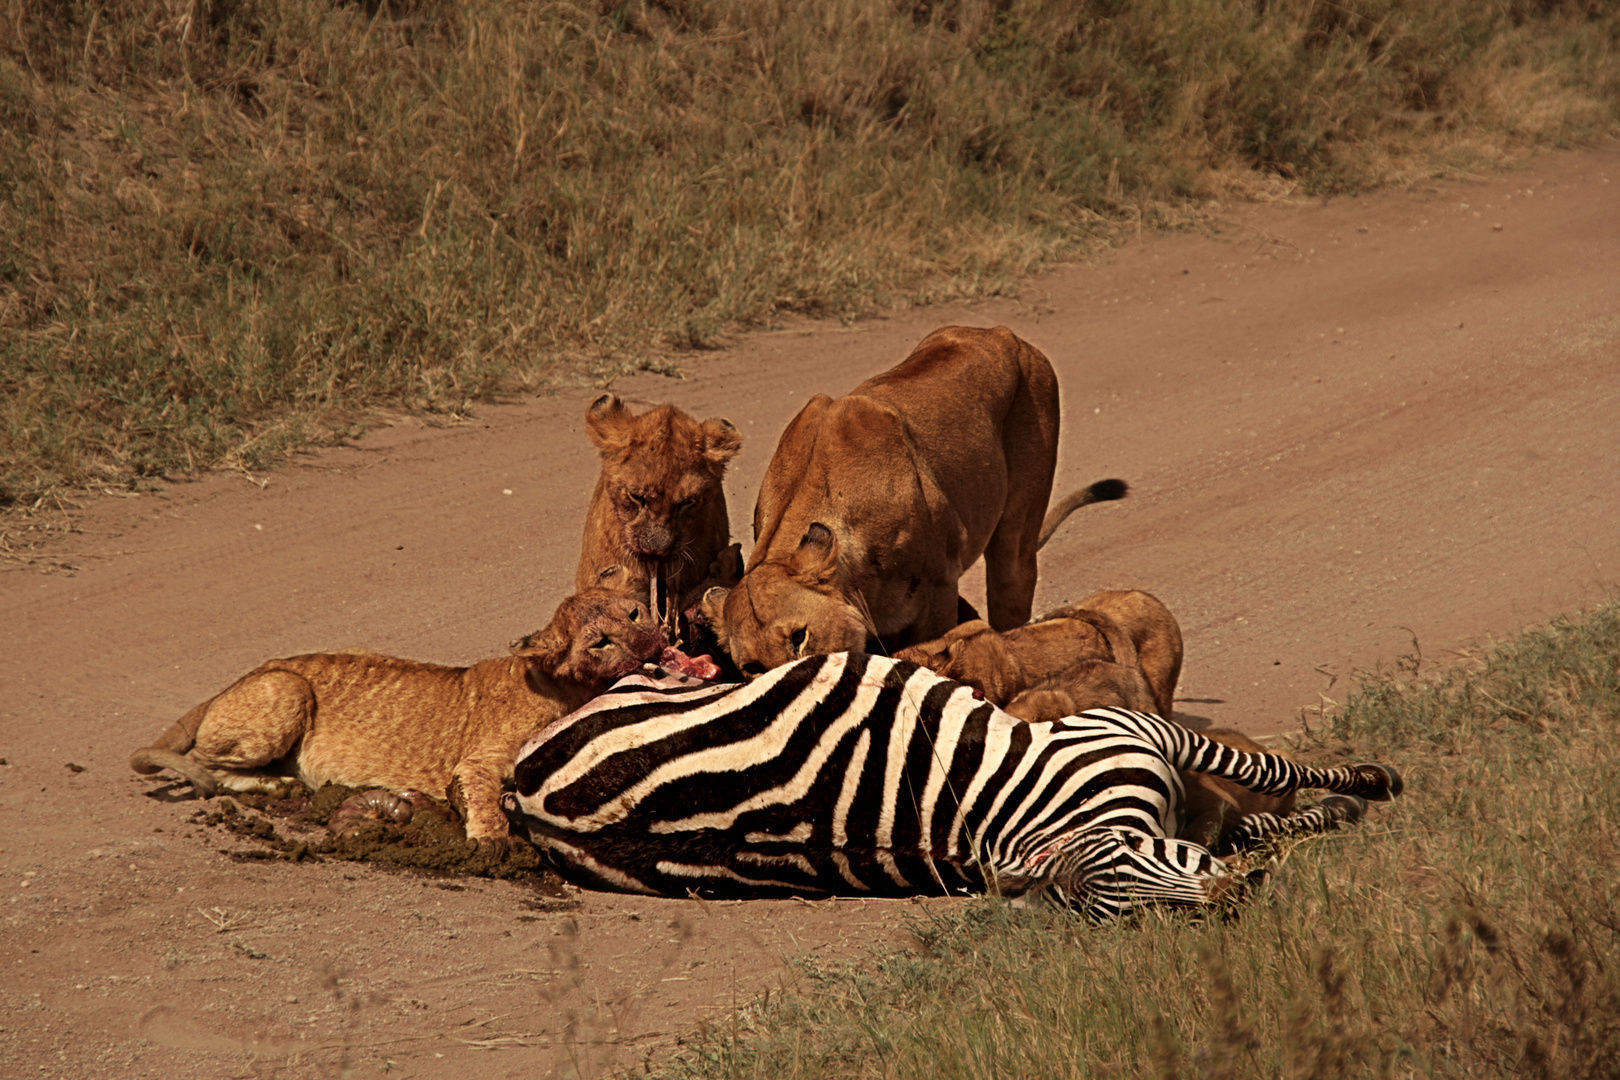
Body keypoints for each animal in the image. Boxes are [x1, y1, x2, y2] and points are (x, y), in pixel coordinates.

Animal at [127, 586, 664, 848]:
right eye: (600, 643)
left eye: (634, 614)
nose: (651, 643)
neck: (569, 687)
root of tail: (248, 672)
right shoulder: (480, 759)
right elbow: (485, 799)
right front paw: (491, 842)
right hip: (287, 687)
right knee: (206, 765)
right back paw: (278, 786)